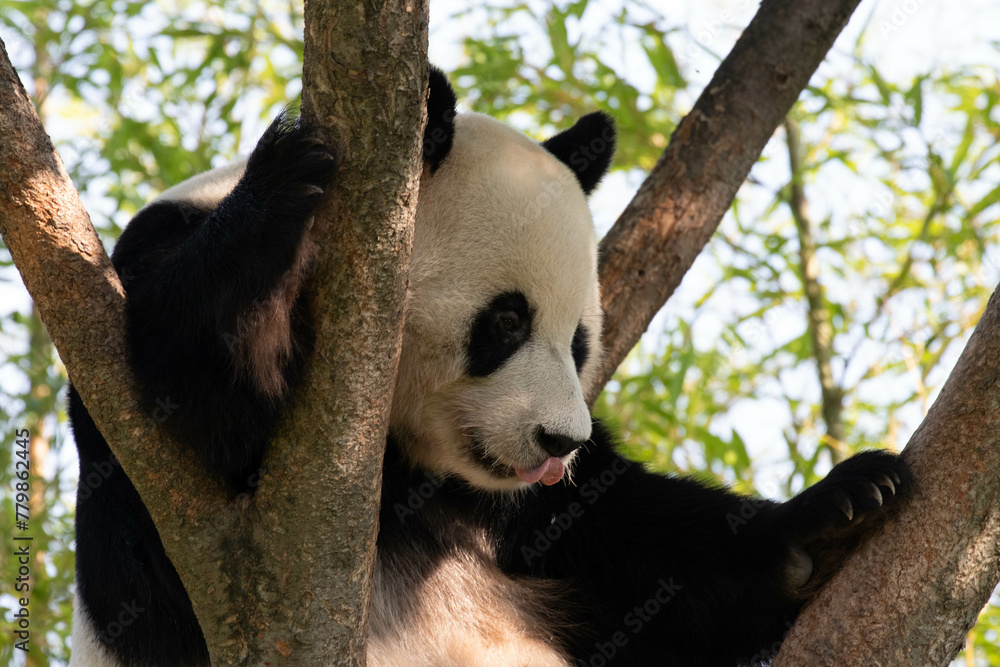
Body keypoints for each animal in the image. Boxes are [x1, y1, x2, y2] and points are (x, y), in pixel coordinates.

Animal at [68, 67, 910, 666]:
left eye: (580, 341)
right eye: (506, 321)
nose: (560, 441)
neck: (415, 469)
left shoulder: (535, 519)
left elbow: (647, 551)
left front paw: (833, 512)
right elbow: (191, 398)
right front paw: (287, 176)